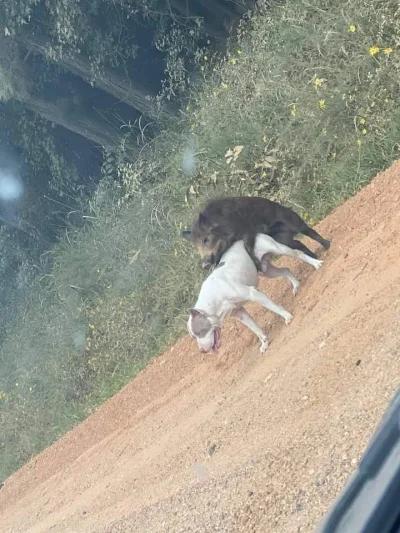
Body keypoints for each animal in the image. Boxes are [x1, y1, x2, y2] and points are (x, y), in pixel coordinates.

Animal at [182, 196, 332, 270]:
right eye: (196, 246)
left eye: (205, 239)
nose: (204, 265)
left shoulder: (248, 230)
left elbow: (247, 246)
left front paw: (258, 267)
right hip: (283, 239)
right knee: (299, 243)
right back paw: (315, 255)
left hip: (294, 221)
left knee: (310, 232)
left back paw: (327, 246)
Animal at [188, 233, 322, 354]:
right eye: (194, 336)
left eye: (199, 332)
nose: (202, 351)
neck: (212, 300)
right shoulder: (240, 313)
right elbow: (255, 329)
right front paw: (264, 343)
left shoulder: (253, 294)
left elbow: (274, 307)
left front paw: (287, 317)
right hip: (267, 271)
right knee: (285, 270)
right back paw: (296, 285)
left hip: (280, 249)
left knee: (299, 254)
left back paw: (316, 263)